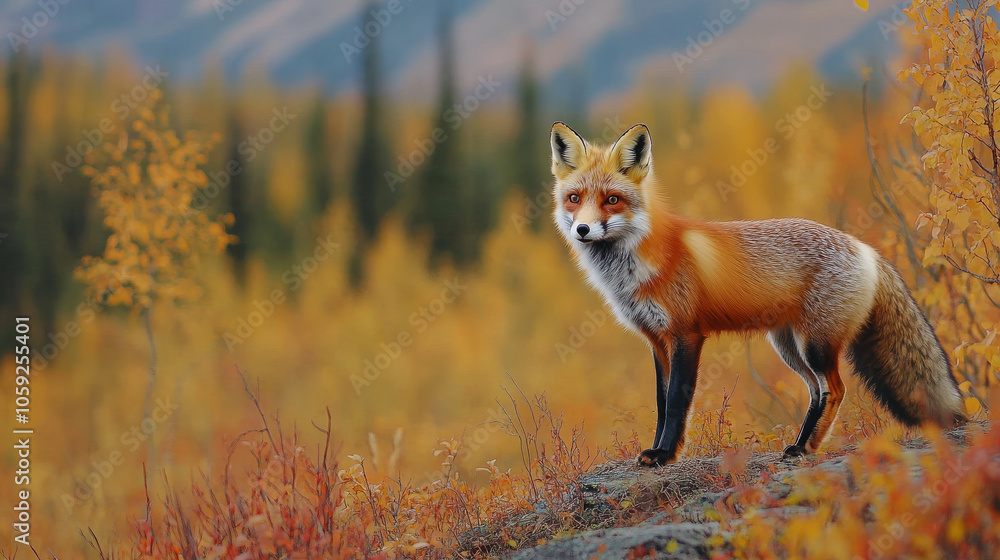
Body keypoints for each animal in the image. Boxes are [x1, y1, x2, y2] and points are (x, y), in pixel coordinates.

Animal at [549, 121, 967, 467]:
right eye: (574, 198)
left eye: (612, 200)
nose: (582, 229)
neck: (637, 266)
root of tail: (865, 248)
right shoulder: (655, 339)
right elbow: (661, 402)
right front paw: (661, 450)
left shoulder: (686, 334)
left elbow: (677, 400)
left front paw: (665, 455)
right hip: (789, 347)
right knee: (816, 392)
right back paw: (801, 445)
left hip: (815, 346)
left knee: (835, 389)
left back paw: (806, 447)